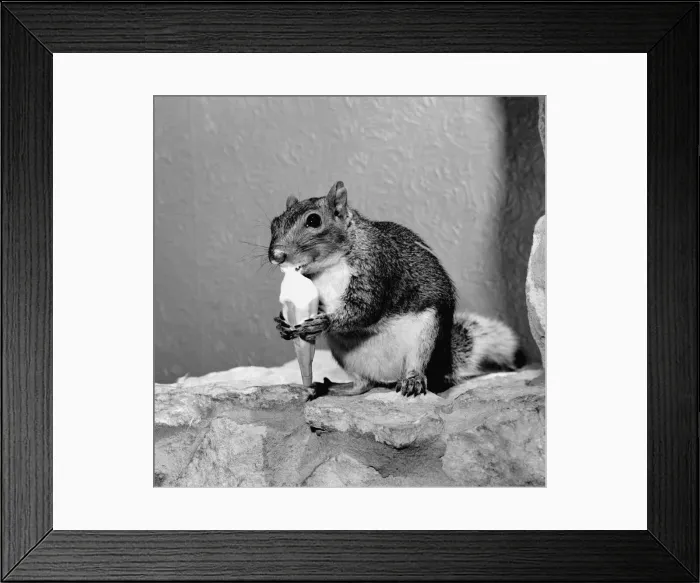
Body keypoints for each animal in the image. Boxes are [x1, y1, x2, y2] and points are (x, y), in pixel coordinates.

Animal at [269, 180, 526, 398]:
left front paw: (322, 322)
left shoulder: (378, 268)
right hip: (345, 355)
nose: (276, 256)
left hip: (425, 337)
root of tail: (389, 378)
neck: (329, 266)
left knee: (416, 366)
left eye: (314, 221)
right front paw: (283, 323)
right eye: (274, 222)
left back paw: (412, 381)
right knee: (363, 384)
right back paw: (336, 388)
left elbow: (365, 309)